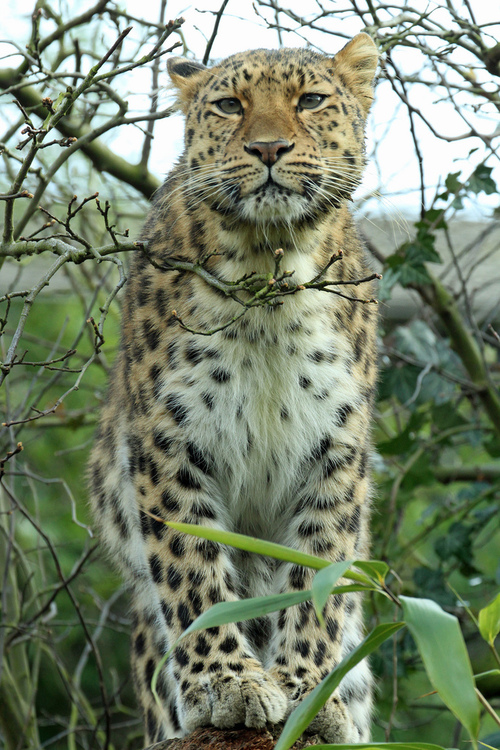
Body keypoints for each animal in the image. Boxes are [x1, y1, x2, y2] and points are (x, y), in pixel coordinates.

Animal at [89, 33, 378, 748]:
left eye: (311, 100)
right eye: (228, 105)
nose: (269, 149)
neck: (270, 277)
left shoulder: (336, 451)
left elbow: (315, 572)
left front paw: (309, 691)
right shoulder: (169, 443)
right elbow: (193, 569)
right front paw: (227, 683)